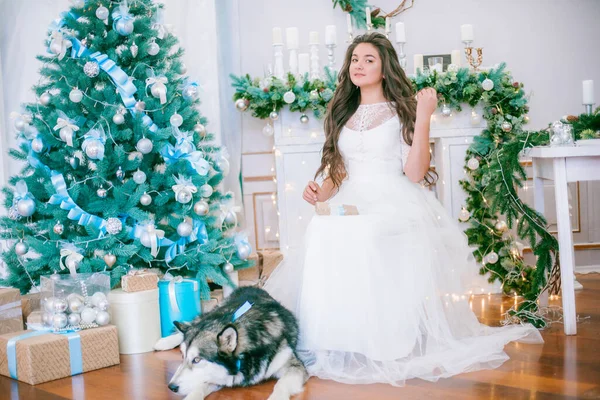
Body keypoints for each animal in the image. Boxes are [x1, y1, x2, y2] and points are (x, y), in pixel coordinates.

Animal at [162, 286, 308, 398]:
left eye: (197, 360)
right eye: (182, 356)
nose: (171, 387)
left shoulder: (294, 366)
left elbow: (281, 385)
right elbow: (199, 388)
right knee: (193, 321)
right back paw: (163, 342)